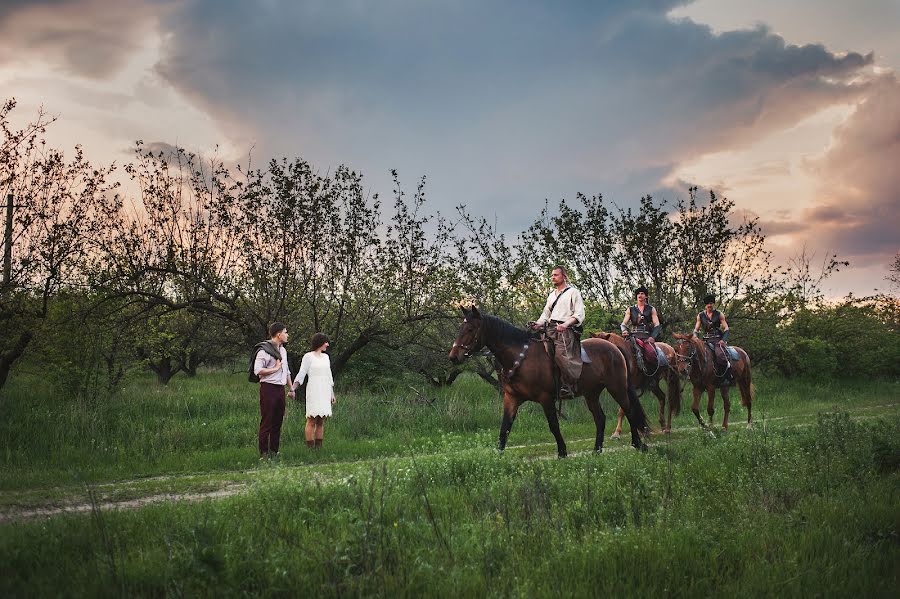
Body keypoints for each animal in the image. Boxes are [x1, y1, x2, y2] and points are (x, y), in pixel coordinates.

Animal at [448, 308, 648, 458]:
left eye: (470, 329)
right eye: (460, 328)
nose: (453, 357)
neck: (520, 356)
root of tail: (615, 347)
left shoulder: (546, 399)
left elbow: (553, 425)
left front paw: (562, 452)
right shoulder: (511, 398)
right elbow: (505, 427)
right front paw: (498, 456)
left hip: (617, 388)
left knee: (628, 410)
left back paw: (638, 444)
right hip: (591, 394)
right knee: (600, 418)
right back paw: (597, 450)